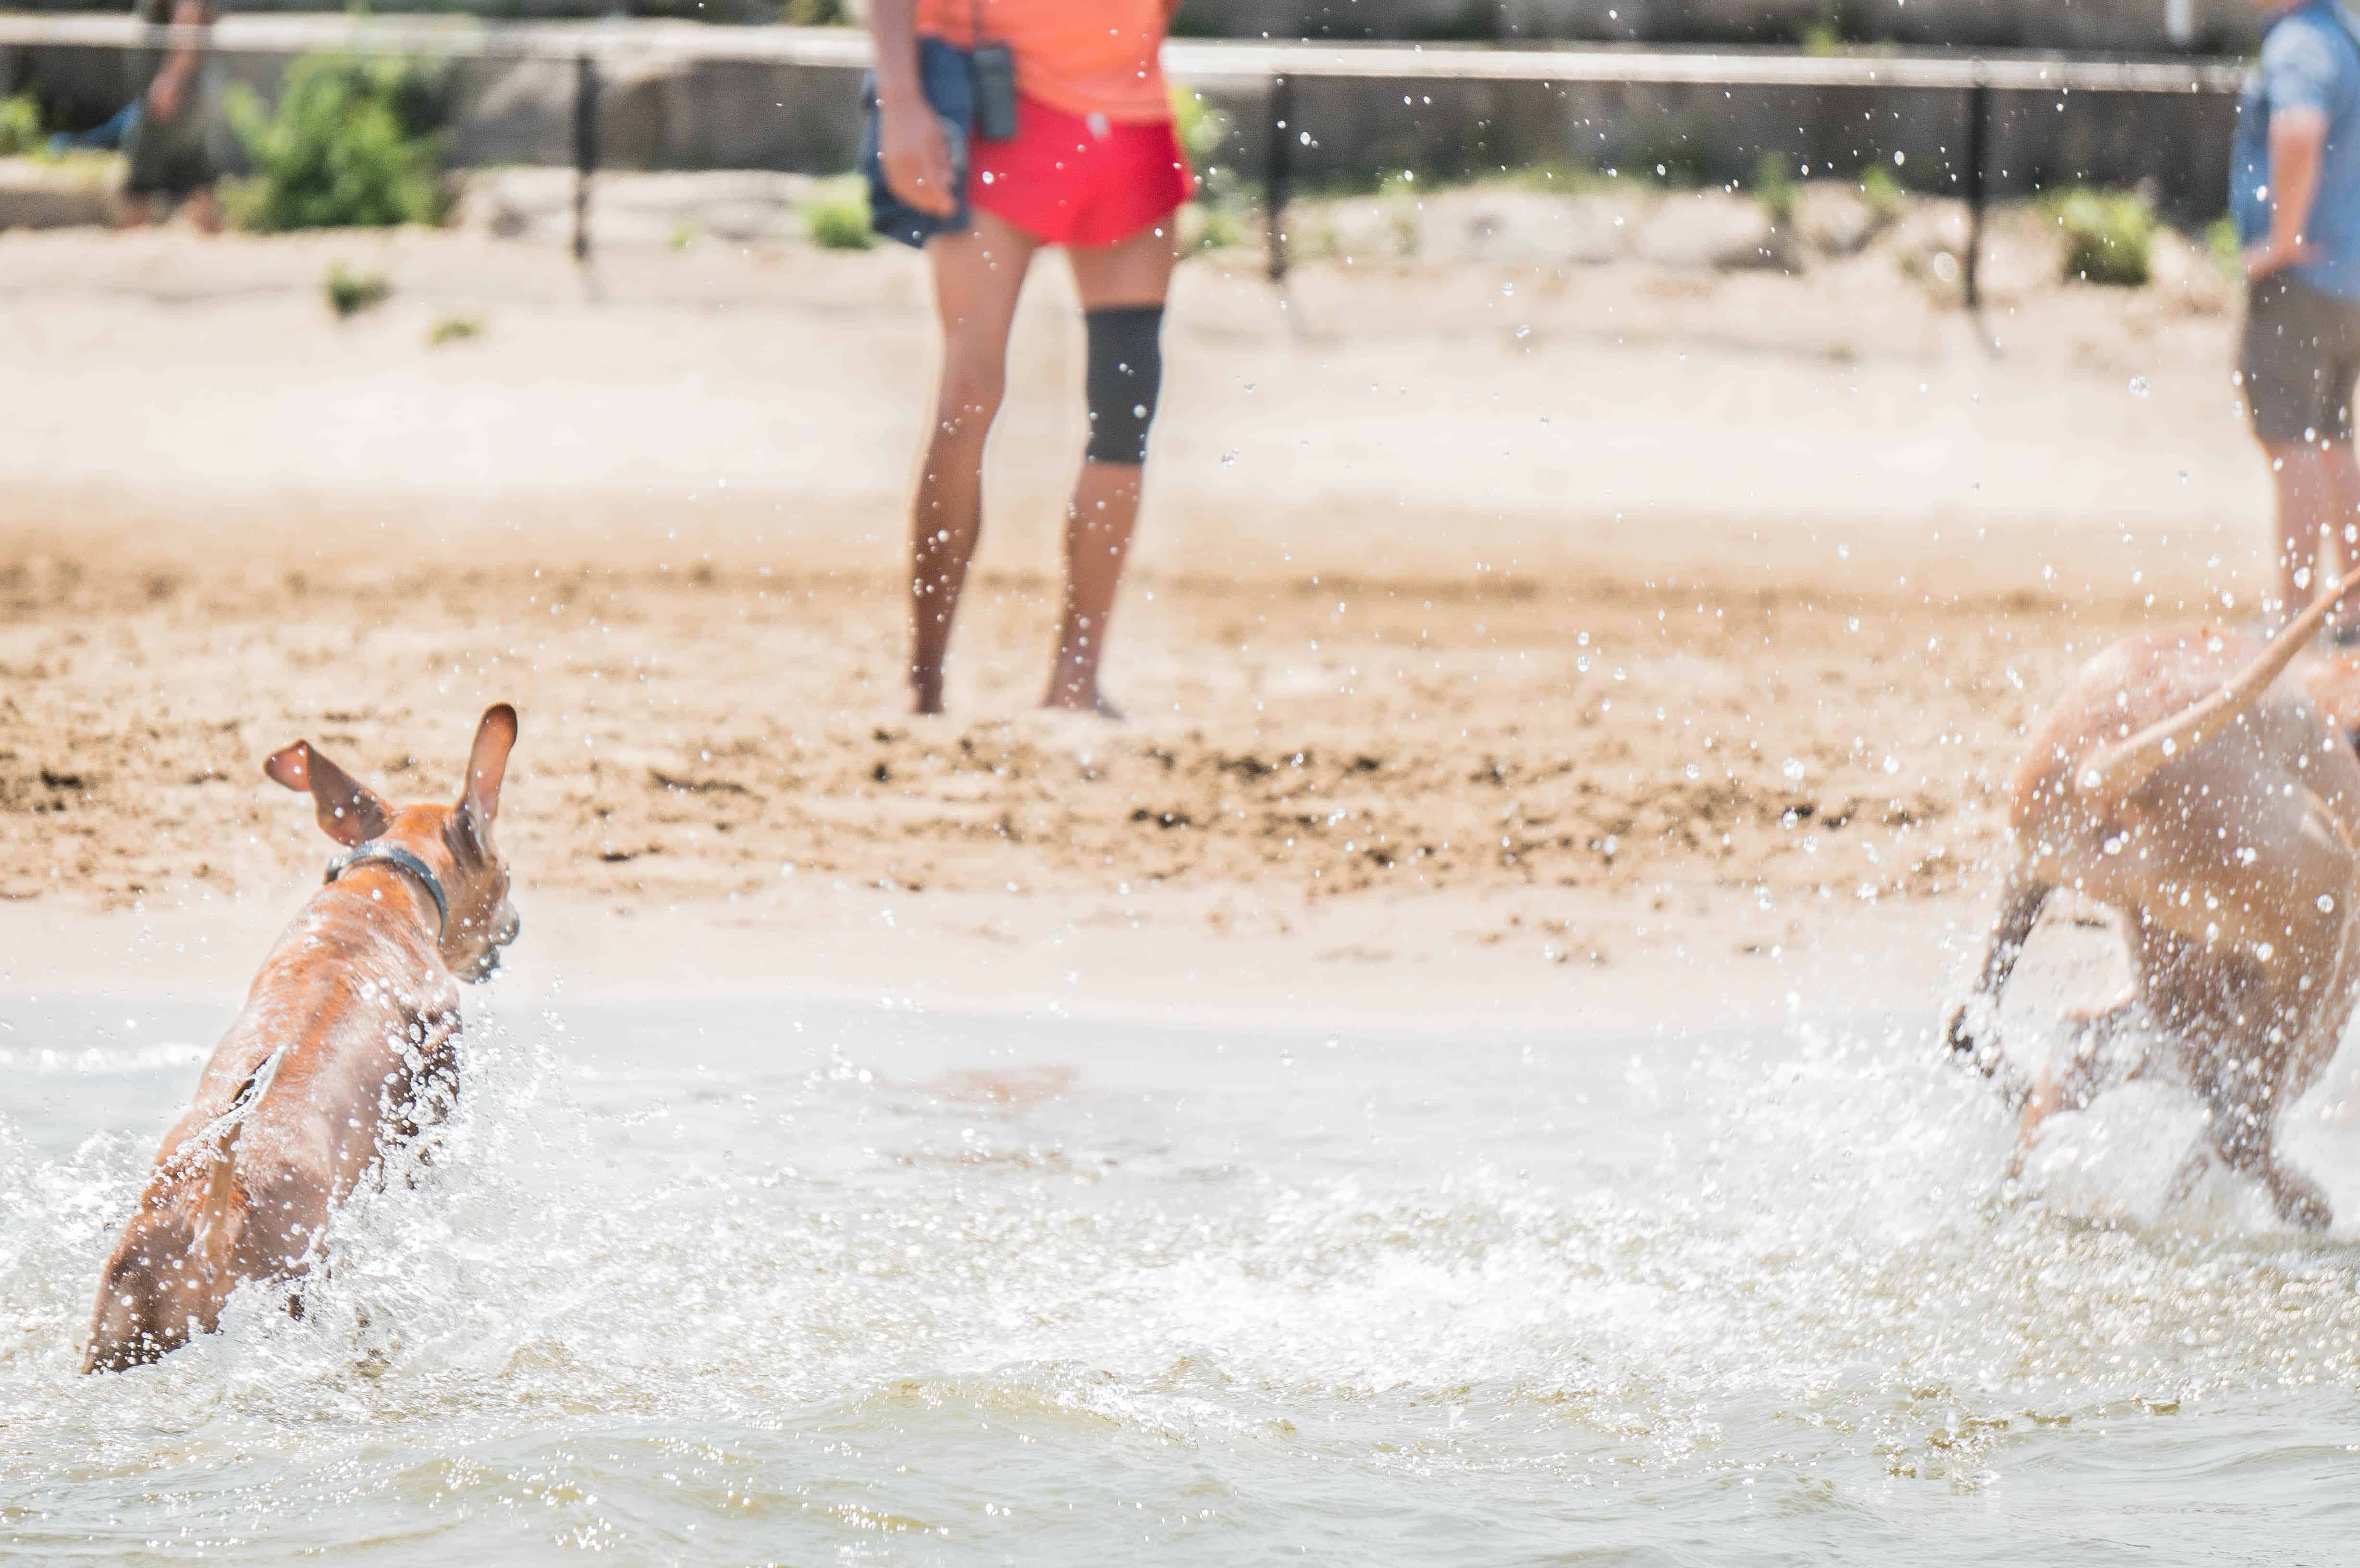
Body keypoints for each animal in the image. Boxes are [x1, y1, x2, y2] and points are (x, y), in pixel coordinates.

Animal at [86, 708, 519, 1370]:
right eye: (509, 875)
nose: (516, 927)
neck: (383, 888)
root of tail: (211, 1229)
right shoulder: (432, 1088)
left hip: (118, 1320)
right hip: (299, 1291)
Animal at [1944, 576, 2360, 1228]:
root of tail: (2100, 766)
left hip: (2034, 879)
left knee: (1980, 1027)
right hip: (2317, 902)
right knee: (2240, 1132)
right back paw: (2305, 1203)